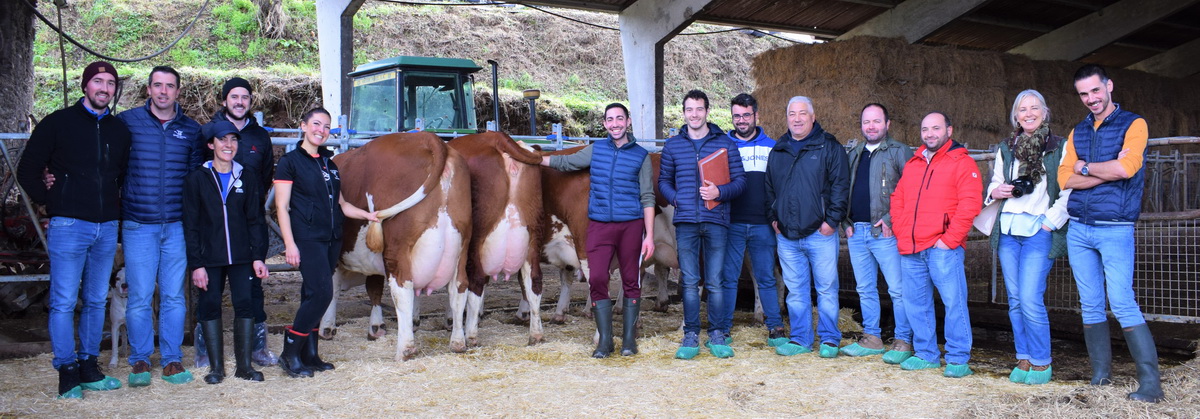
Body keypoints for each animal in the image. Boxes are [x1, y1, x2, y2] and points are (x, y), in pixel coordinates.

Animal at [324, 131, 472, 360]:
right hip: (462, 245)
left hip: (397, 250)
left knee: (403, 290)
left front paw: (326, 328)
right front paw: (376, 327)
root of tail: (428, 138)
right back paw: (457, 343)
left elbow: (332, 289)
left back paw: (406, 349)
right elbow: (373, 289)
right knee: (459, 288)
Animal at [448, 132, 547, 343]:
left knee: (475, 281)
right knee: (533, 280)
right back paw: (536, 334)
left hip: (476, 237)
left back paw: (471, 335)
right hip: (534, 233)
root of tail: (496, 136)